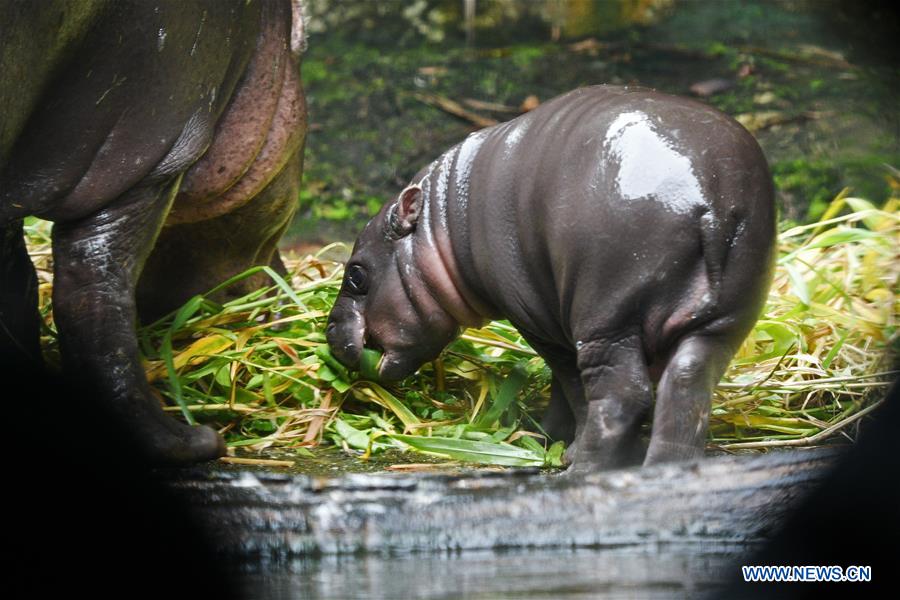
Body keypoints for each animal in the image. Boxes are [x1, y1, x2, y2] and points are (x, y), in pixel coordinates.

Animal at [326, 85, 776, 474]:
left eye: (356, 274)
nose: (329, 332)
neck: (443, 225)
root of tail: (712, 196)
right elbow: (565, 388)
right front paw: (548, 436)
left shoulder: (538, 320)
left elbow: (569, 383)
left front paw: (559, 444)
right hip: (721, 324)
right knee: (686, 386)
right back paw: (664, 471)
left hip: (607, 317)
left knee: (621, 394)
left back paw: (581, 471)